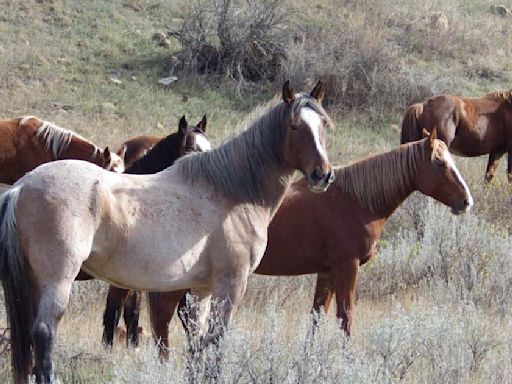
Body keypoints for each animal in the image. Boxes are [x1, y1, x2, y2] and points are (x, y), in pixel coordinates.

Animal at [0, 79, 334, 382]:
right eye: (294, 127)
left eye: (323, 125)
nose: (323, 175)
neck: (231, 190)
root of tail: (21, 187)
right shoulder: (231, 285)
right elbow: (216, 344)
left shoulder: (201, 290)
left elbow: (197, 346)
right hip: (58, 280)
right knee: (44, 334)